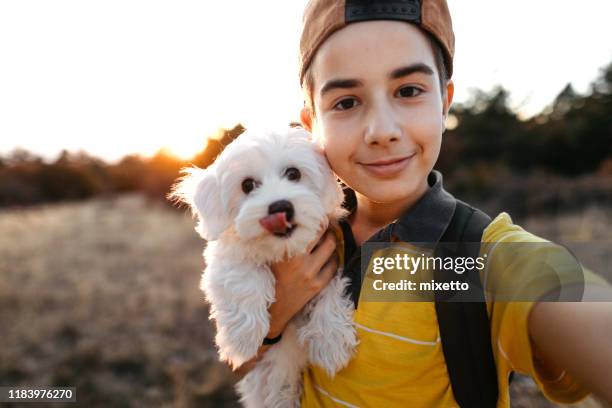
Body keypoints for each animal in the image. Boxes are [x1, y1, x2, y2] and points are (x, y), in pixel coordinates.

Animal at [170, 126, 358, 404]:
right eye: (247, 185)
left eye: (293, 173)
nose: (280, 206)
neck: (282, 251)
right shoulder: (225, 259)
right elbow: (244, 278)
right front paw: (243, 339)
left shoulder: (329, 258)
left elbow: (331, 290)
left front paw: (331, 340)